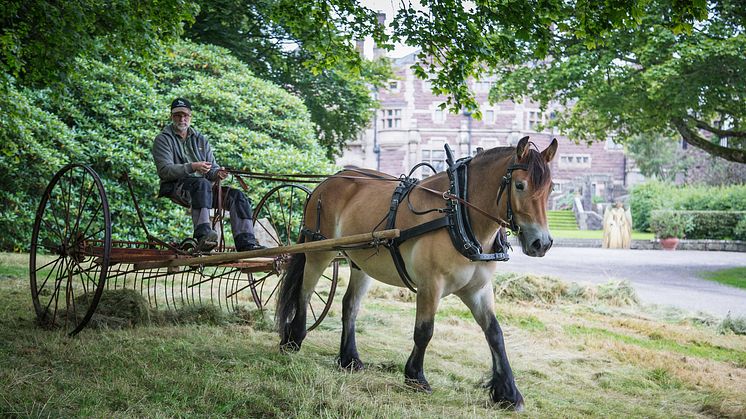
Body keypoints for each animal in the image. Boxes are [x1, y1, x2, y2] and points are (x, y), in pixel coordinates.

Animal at [276, 137, 556, 410]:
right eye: (520, 185)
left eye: (551, 188)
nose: (541, 243)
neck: (457, 215)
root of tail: (329, 180)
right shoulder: (430, 284)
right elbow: (424, 330)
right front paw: (415, 376)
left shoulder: (478, 289)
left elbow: (495, 333)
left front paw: (507, 391)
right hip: (319, 251)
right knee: (305, 292)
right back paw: (293, 338)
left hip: (362, 262)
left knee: (350, 306)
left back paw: (349, 358)